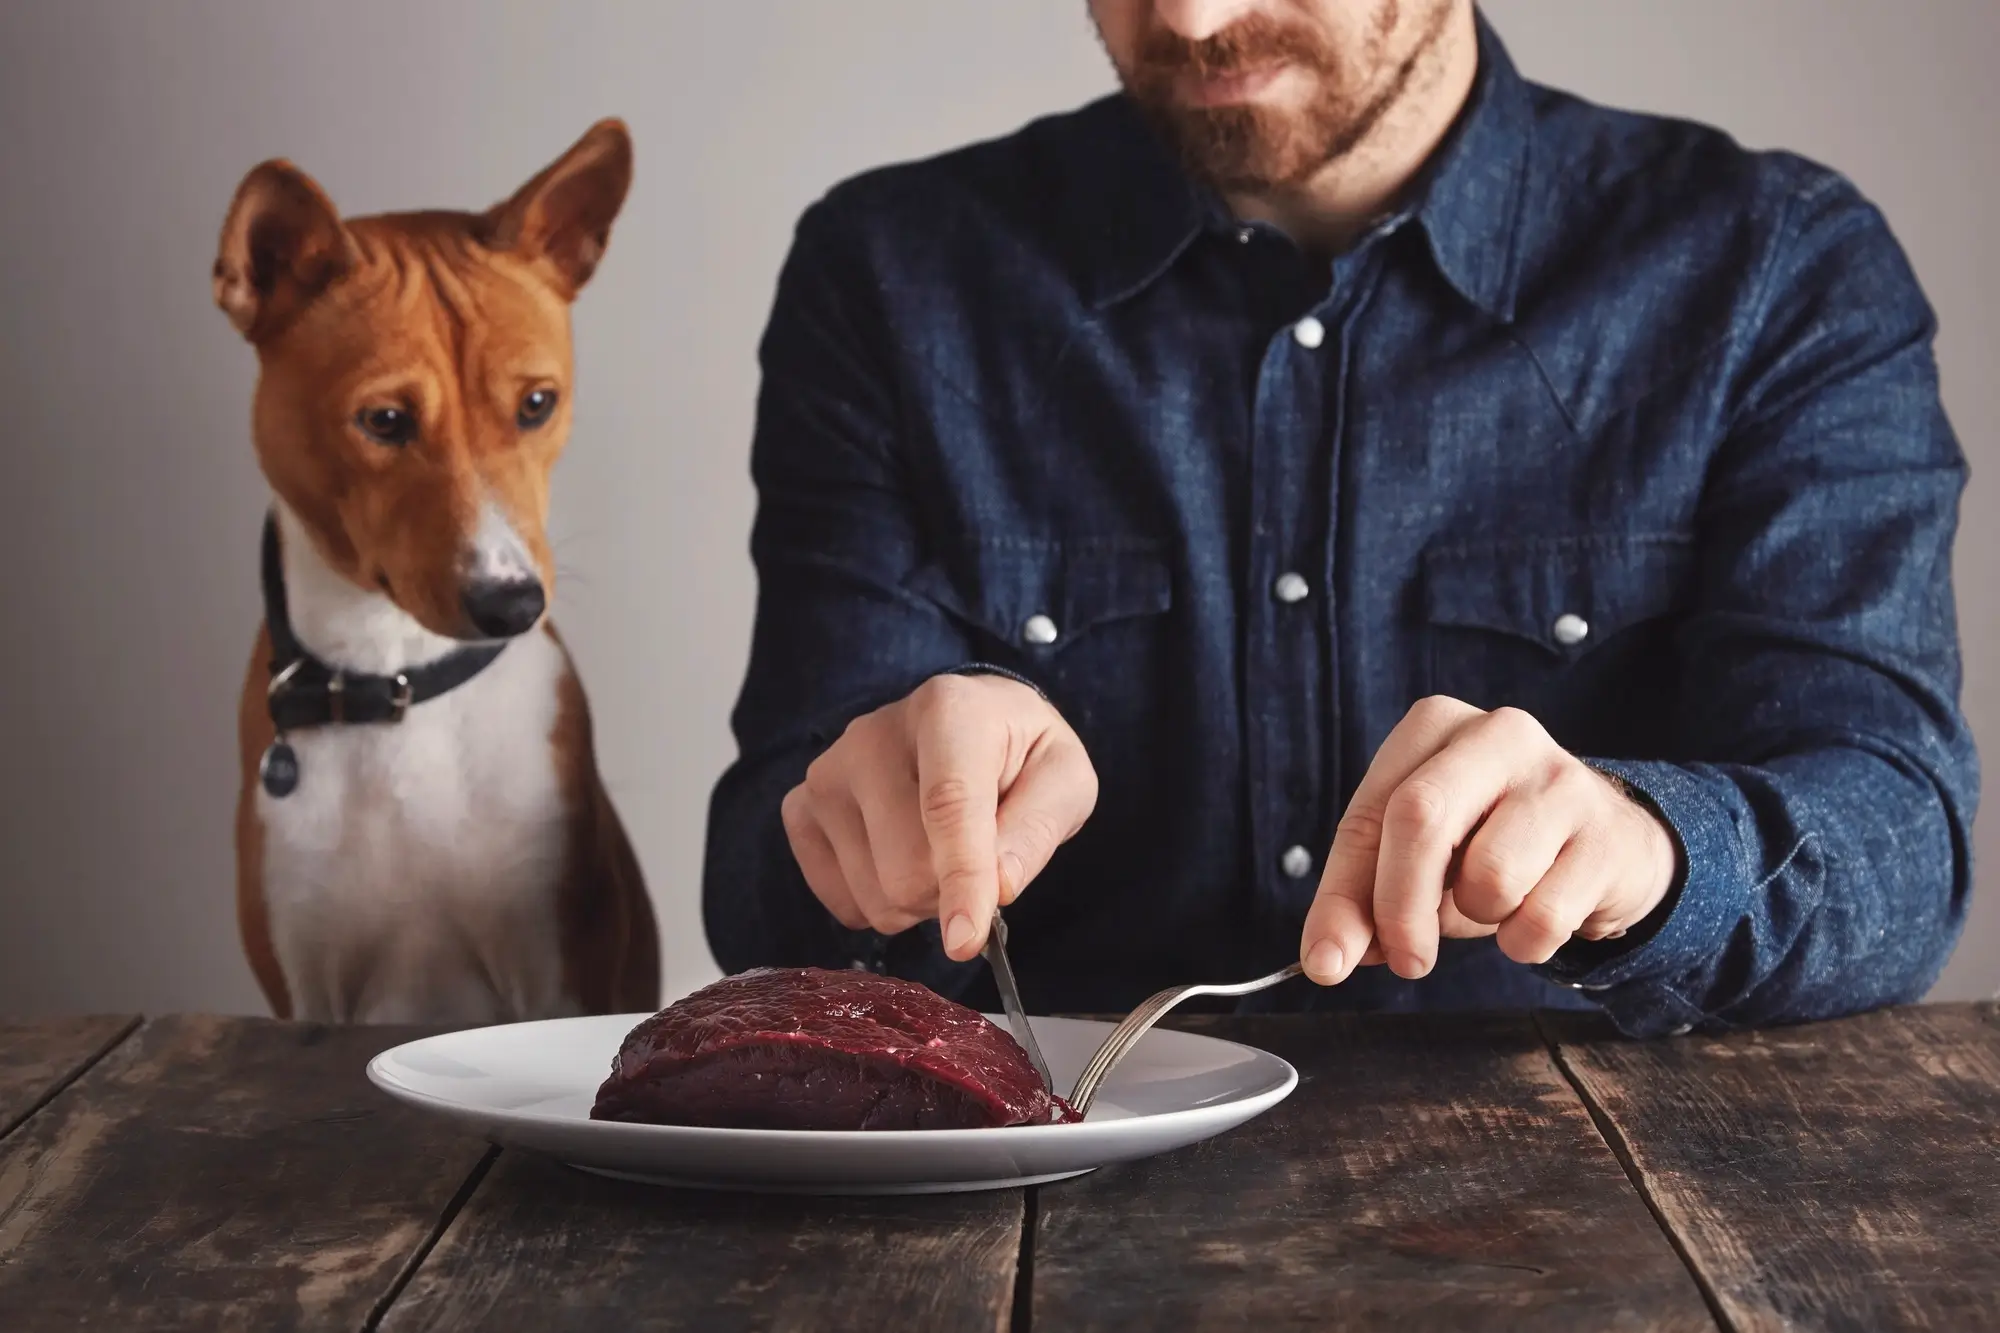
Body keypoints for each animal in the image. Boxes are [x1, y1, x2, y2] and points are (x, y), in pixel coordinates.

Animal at [216, 122, 660, 1016]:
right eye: (384, 420)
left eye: (537, 404)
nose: (512, 602)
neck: (399, 683)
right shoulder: (307, 983)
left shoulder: (551, 966)